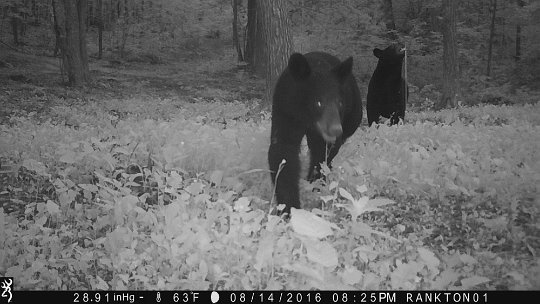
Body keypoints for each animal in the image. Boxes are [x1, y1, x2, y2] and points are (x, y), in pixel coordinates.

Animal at [268, 51, 362, 214]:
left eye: (340, 102)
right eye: (318, 102)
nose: (336, 129)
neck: (306, 118)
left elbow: (322, 155)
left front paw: (315, 186)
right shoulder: (286, 112)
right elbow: (282, 152)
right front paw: (289, 207)